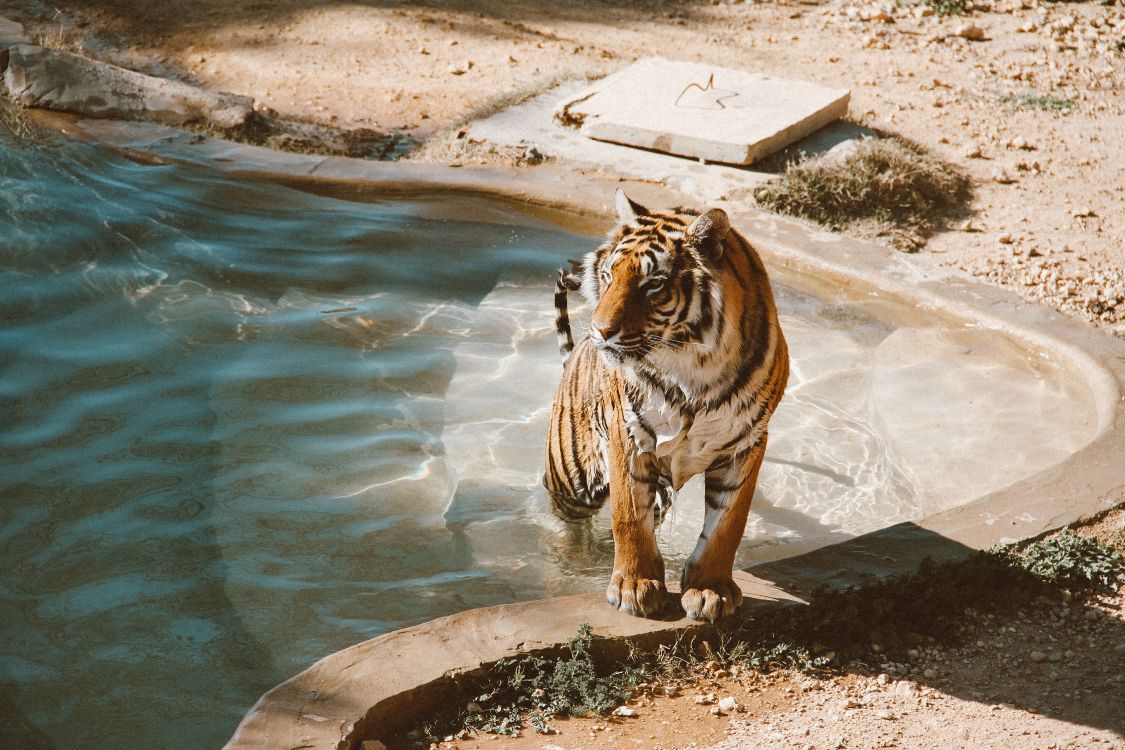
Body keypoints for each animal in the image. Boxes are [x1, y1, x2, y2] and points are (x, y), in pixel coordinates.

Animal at [544, 190, 789, 622]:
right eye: (609, 276)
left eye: (653, 285)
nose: (600, 331)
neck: (693, 368)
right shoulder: (628, 435)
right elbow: (628, 517)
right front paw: (633, 587)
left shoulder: (747, 443)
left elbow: (728, 524)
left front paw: (709, 589)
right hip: (571, 478)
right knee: (566, 525)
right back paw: (572, 561)